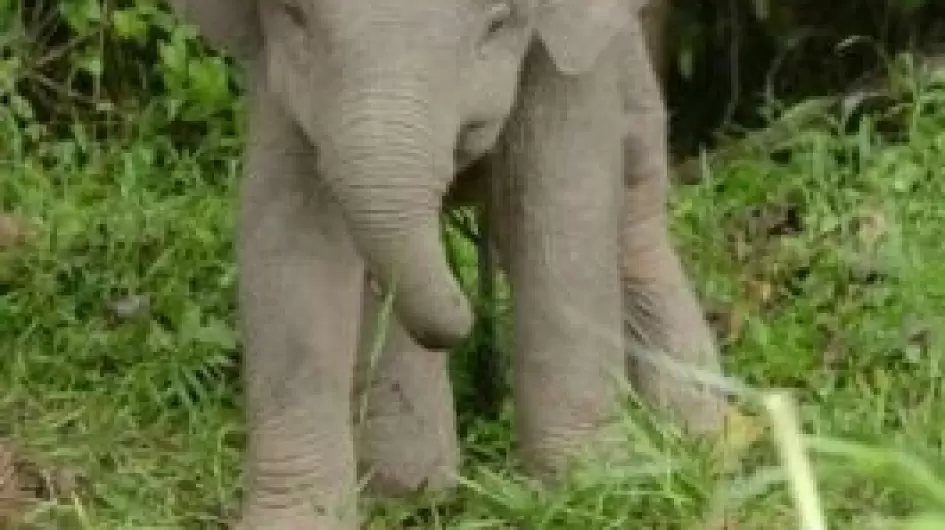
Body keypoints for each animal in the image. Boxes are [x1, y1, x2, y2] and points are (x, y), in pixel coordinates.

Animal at [167, 0, 726, 528]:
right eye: (295, 15)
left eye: (498, 23)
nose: (467, 316)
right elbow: (288, 241)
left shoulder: (568, 60)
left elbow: (562, 212)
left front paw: (591, 493)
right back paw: (414, 489)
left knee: (635, 228)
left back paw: (702, 439)